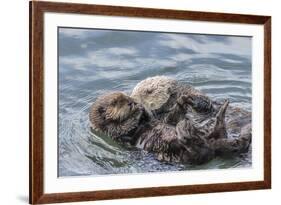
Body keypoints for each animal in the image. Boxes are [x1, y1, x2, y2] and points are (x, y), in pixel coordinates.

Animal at [89, 92, 249, 164]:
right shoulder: (115, 133)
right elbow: (124, 126)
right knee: (197, 150)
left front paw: (184, 99)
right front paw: (137, 111)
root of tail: (214, 147)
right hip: (181, 154)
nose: (131, 102)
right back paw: (184, 130)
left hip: (212, 137)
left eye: (126, 97)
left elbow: (165, 118)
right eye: (116, 102)